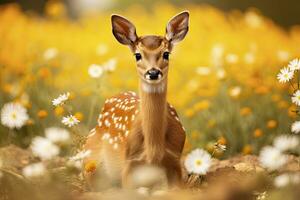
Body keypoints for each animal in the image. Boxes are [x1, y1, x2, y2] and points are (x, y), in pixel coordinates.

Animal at [83, 10, 189, 189]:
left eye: (166, 53)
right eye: (137, 55)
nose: (153, 73)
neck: (153, 150)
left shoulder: (175, 159)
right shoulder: (129, 162)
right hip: (89, 161)